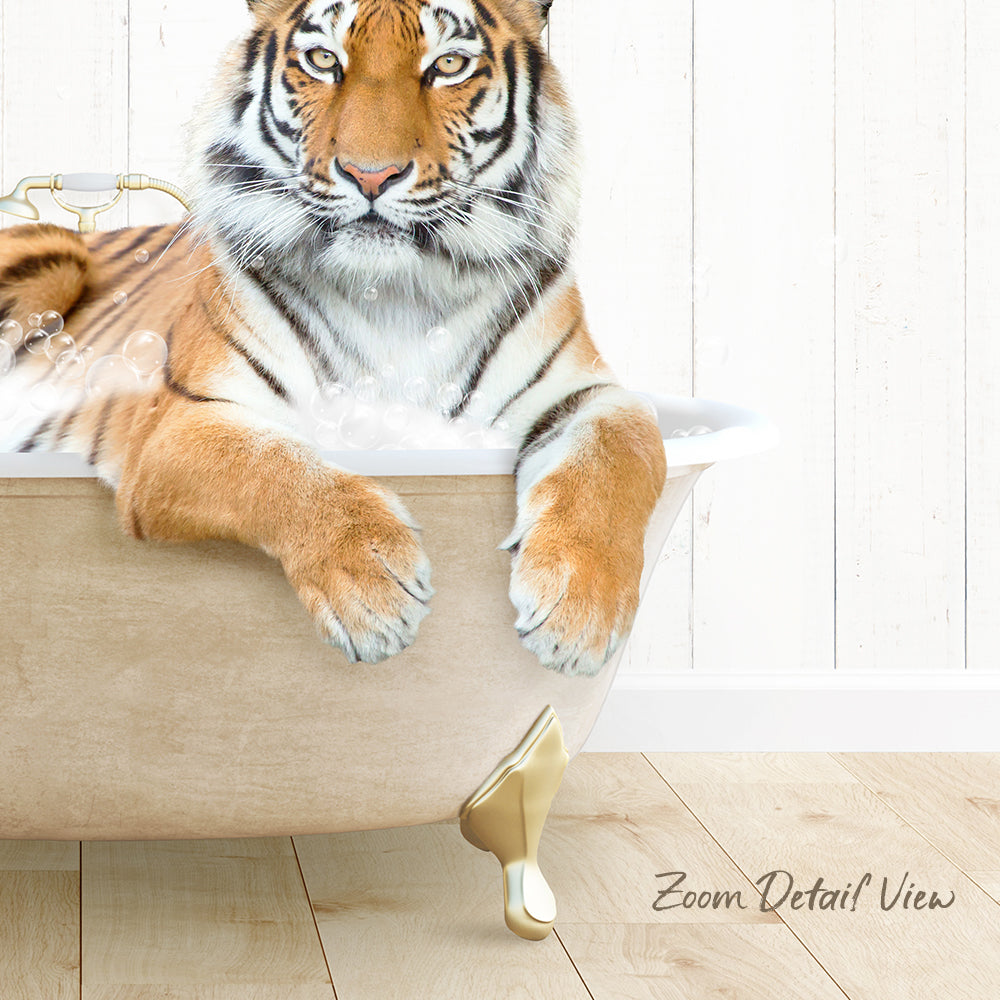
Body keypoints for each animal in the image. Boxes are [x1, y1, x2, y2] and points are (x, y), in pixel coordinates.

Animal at [0, 0, 666, 677]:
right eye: (324, 60)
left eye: (448, 64)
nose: (371, 176)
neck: (395, 296)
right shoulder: (180, 423)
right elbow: (274, 466)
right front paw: (373, 592)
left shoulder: (586, 393)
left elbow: (624, 451)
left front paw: (579, 611)